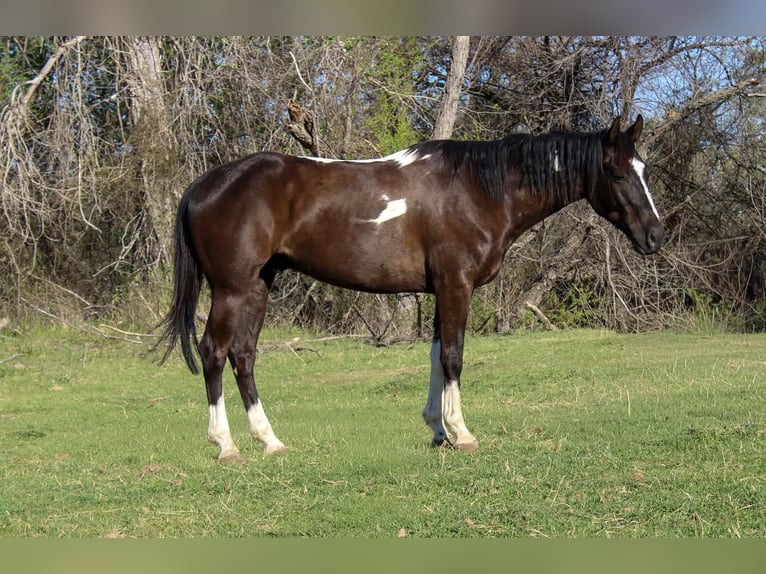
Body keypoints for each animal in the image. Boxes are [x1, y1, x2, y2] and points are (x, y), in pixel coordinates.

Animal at [156, 115, 663, 463]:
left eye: (645, 169)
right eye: (618, 174)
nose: (656, 235)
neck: (479, 189)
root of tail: (204, 185)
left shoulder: (442, 288)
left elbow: (437, 354)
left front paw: (438, 430)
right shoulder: (457, 284)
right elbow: (454, 356)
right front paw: (462, 433)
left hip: (259, 286)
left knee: (243, 356)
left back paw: (270, 440)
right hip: (232, 289)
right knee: (213, 352)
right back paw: (226, 445)